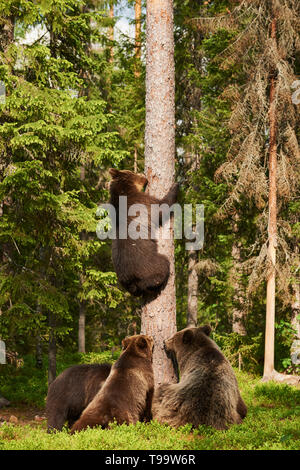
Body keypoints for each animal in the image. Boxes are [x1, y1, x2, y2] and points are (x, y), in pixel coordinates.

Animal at [108, 167, 179, 296]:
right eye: (133, 171)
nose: (143, 174)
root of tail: (131, 281)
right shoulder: (142, 202)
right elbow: (161, 207)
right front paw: (176, 185)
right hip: (148, 265)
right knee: (162, 267)